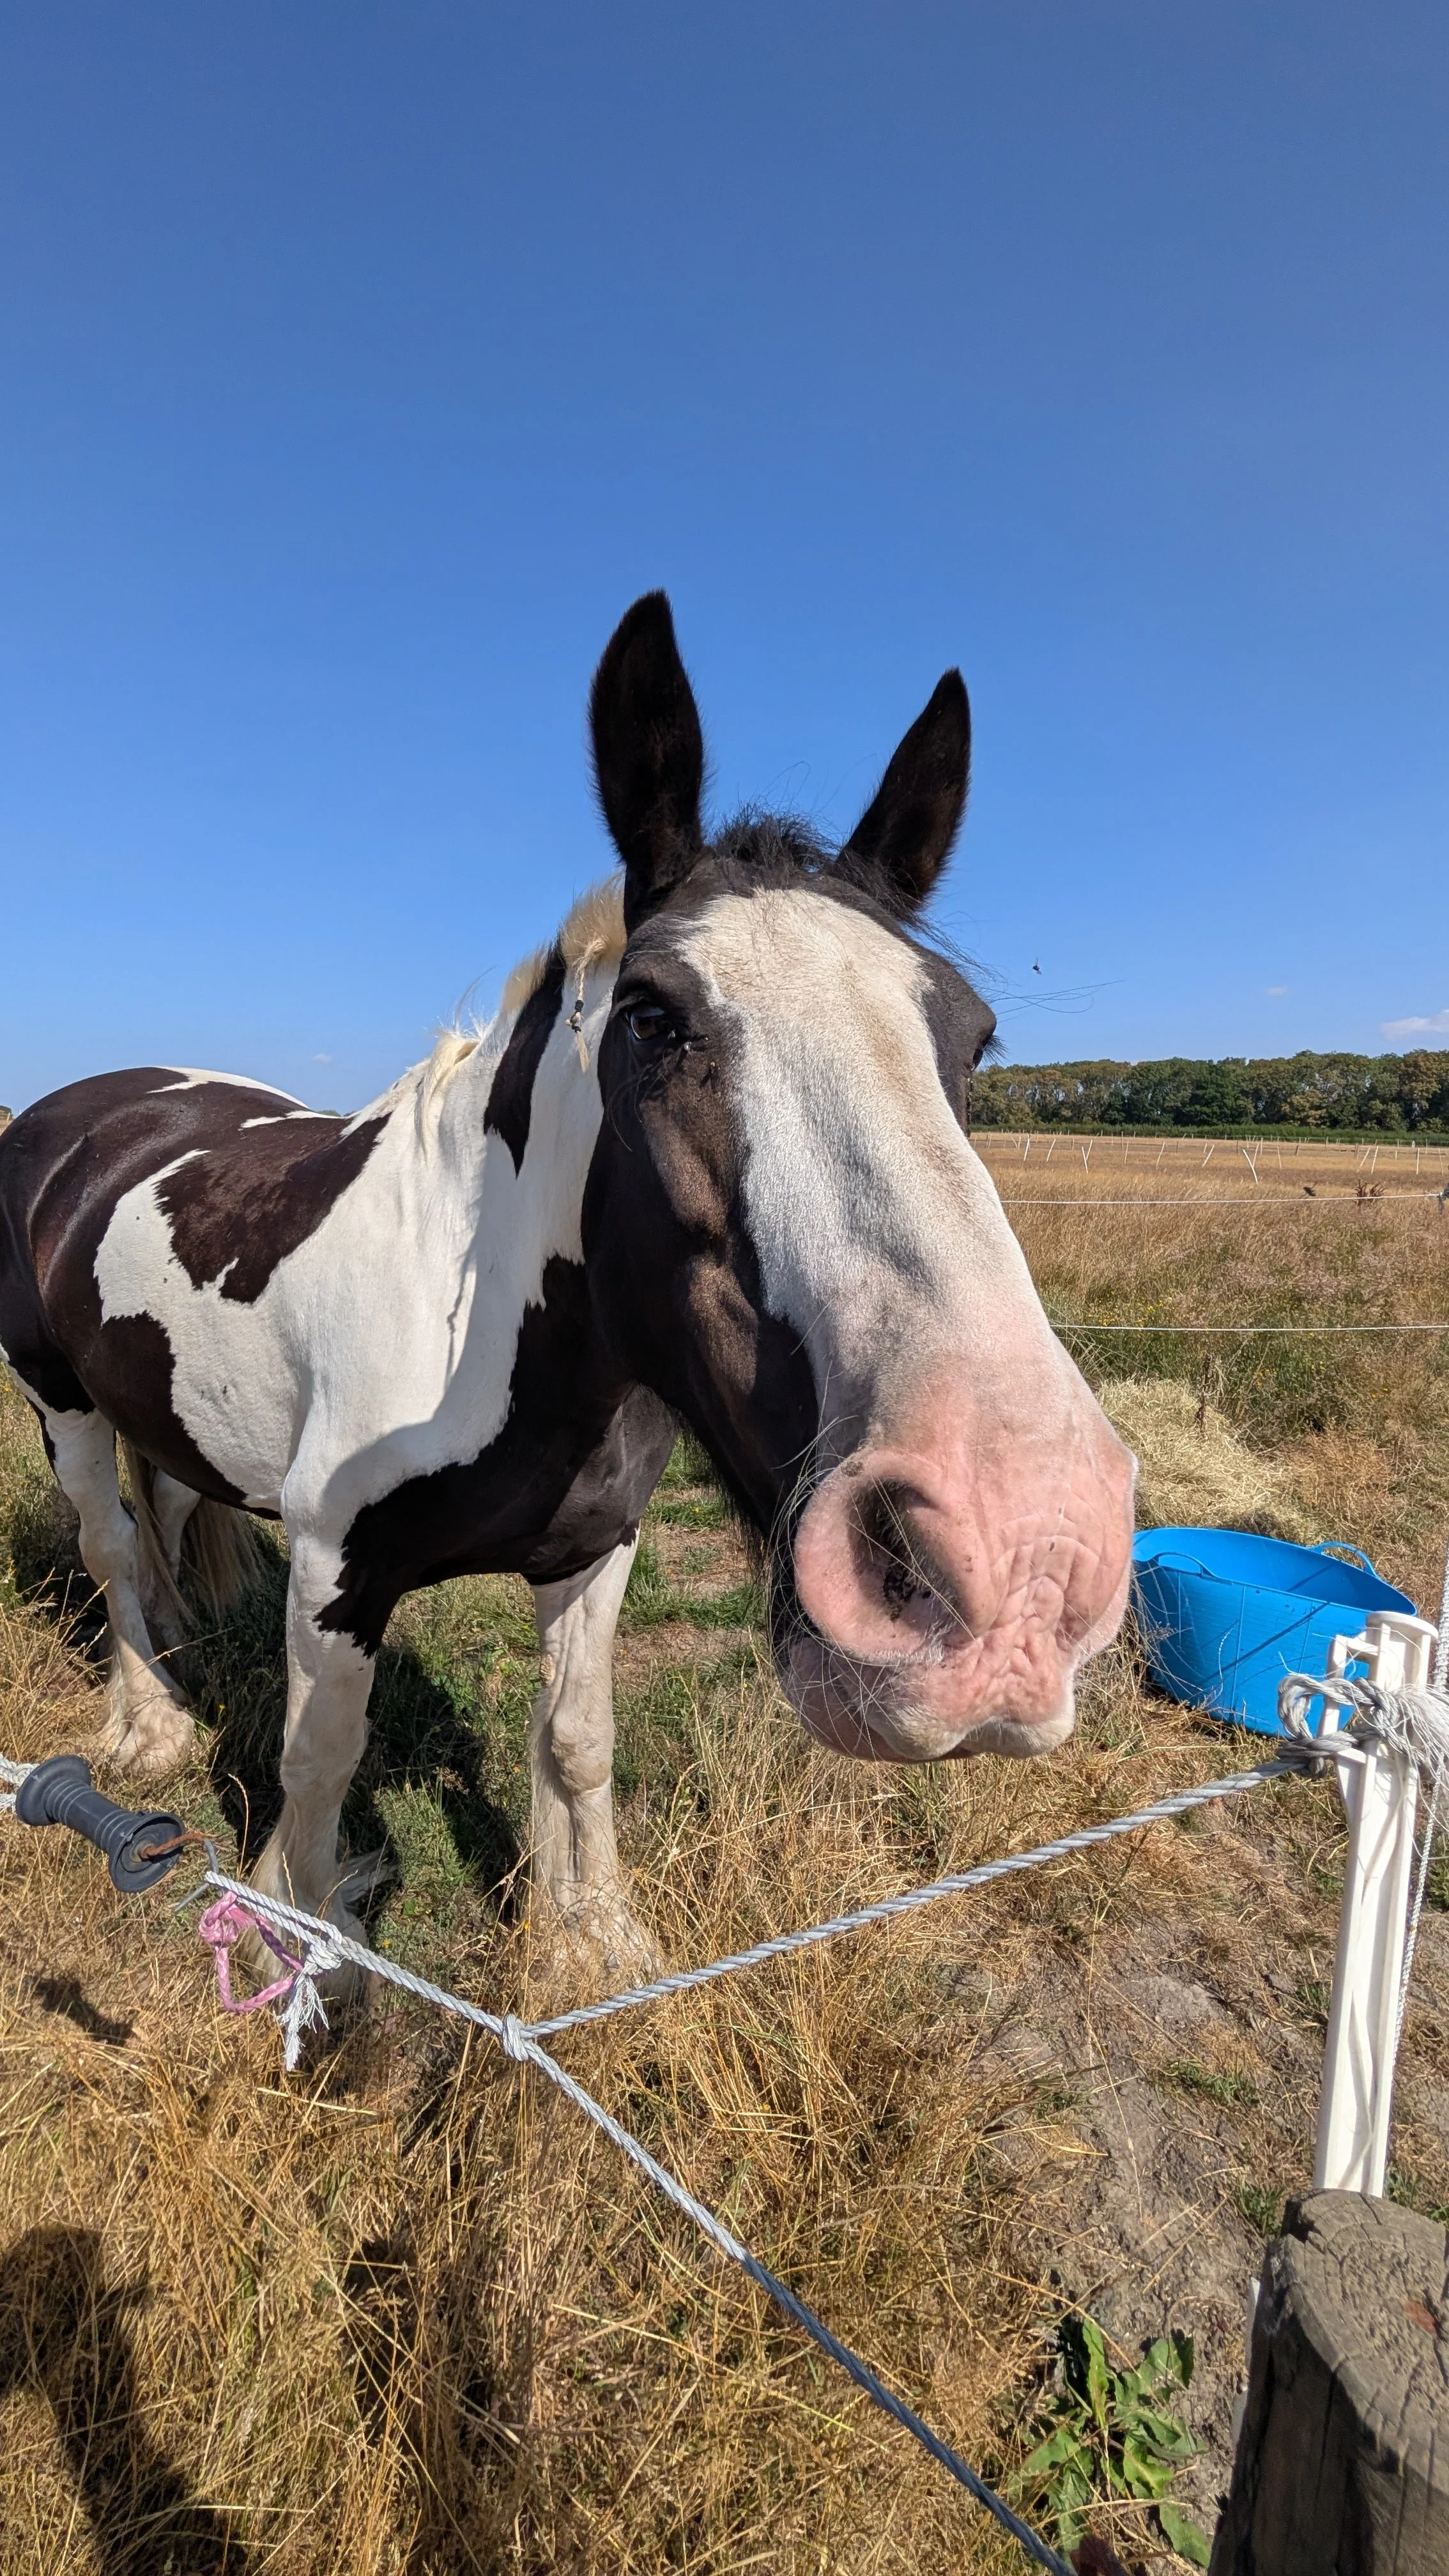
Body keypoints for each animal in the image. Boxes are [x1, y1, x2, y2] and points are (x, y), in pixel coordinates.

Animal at [0, 593, 1135, 1982]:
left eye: (972, 1036)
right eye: (650, 1017)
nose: (1019, 1557)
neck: (483, 1338)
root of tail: (92, 1101)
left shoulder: (595, 1550)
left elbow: (577, 1741)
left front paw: (593, 1941)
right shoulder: (334, 1571)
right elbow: (319, 1764)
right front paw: (290, 1941)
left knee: (160, 1510)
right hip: (55, 1397)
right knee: (109, 1543)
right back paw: (150, 1723)